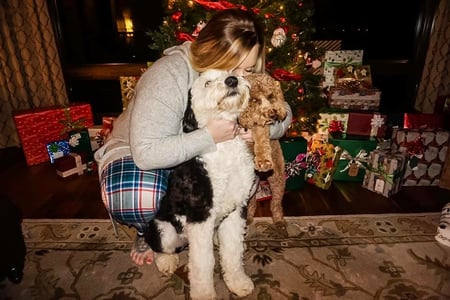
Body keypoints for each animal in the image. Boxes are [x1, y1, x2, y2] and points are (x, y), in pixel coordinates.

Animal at [145, 69, 256, 298]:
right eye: (207, 83)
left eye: (230, 73)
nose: (232, 80)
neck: (224, 148)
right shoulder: (200, 216)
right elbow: (203, 264)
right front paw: (204, 294)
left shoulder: (236, 209)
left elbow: (232, 252)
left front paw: (238, 283)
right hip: (164, 229)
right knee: (160, 247)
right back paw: (166, 262)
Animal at [239, 74, 288, 229]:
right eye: (255, 100)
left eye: (271, 96)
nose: (273, 113)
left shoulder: (260, 127)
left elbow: (261, 140)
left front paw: (263, 161)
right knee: (252, 200)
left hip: (277, 177)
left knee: (276, 203)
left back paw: (278, 220)